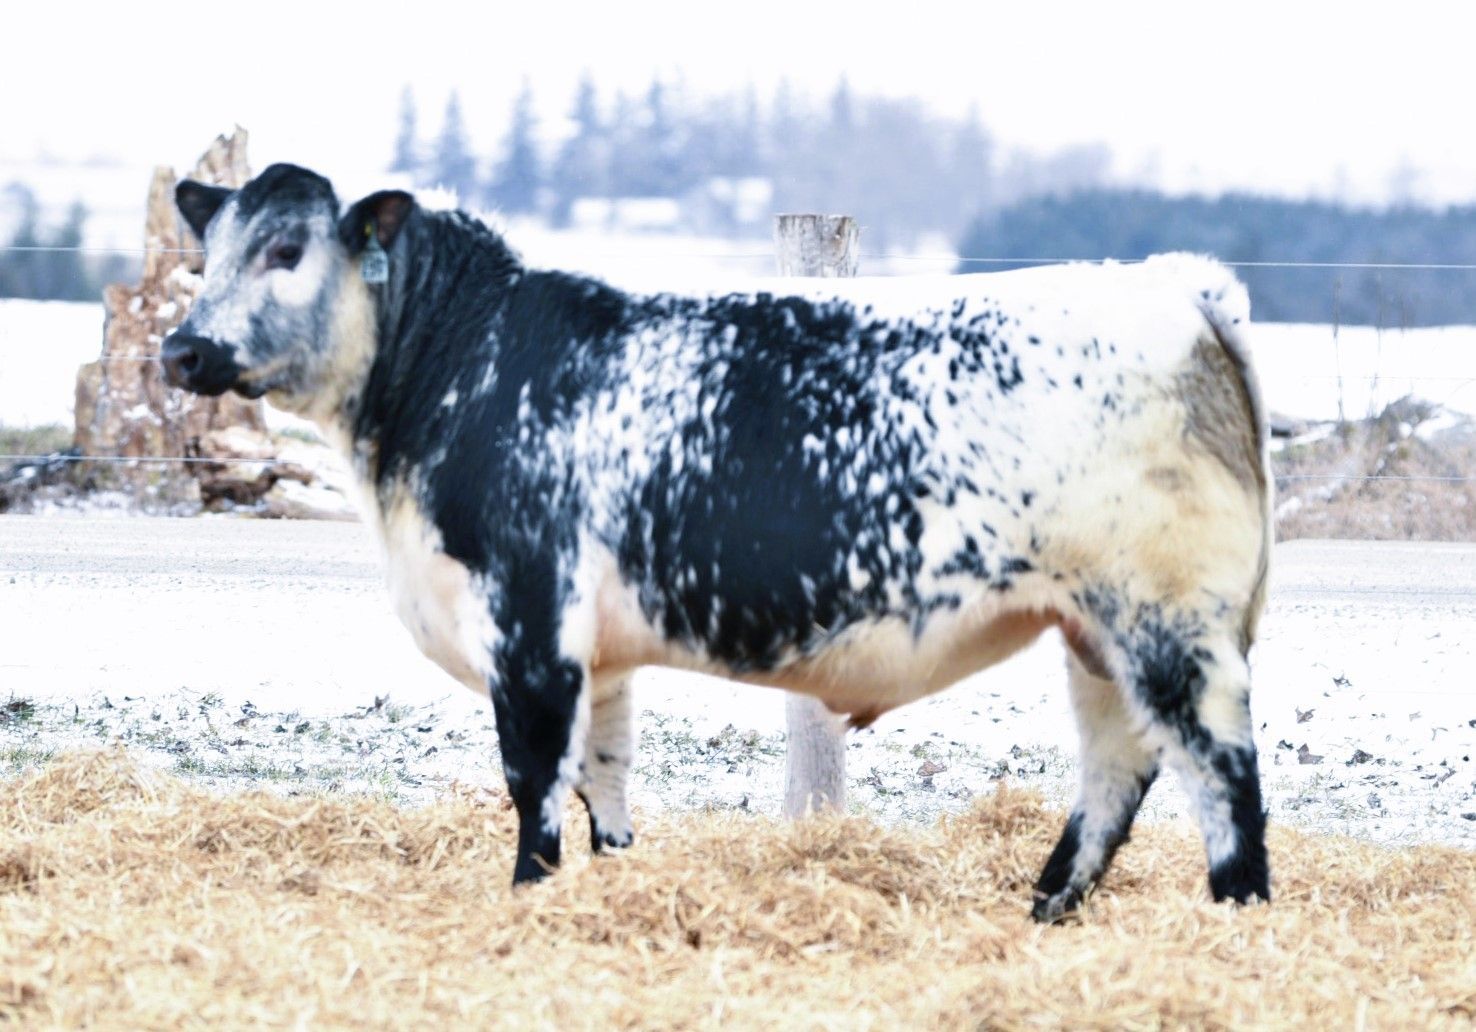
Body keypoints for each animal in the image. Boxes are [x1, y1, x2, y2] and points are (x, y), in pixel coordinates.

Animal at [161, 163, 1271, 921]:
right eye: (207, 256)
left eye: (287, 251)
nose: (182, 350)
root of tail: (1179, 287)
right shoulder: (598, 651)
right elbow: (603, 775)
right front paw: (610, 885)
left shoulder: (530, 625)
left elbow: (533, 779)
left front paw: (529, 897)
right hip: (1096, 633)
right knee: (1116, 772)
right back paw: (1045, 910)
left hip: (1172, 624)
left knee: (1223, 776)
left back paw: (1235, 917)